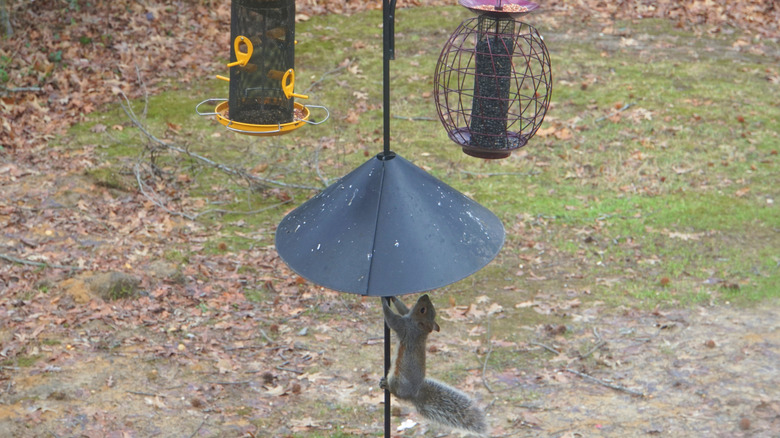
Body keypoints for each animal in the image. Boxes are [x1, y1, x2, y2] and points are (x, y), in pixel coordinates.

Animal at [380, 294, 488, 435]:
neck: (418, 328)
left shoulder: (404, 326)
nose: (424, 295)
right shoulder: (407, 316)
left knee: (395, 392)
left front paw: (383, 302)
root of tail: (414, 394)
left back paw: (386, 385)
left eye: (422, 310)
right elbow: (404, 308)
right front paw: (393, 298)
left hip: (398, 381)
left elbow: (390, 318)